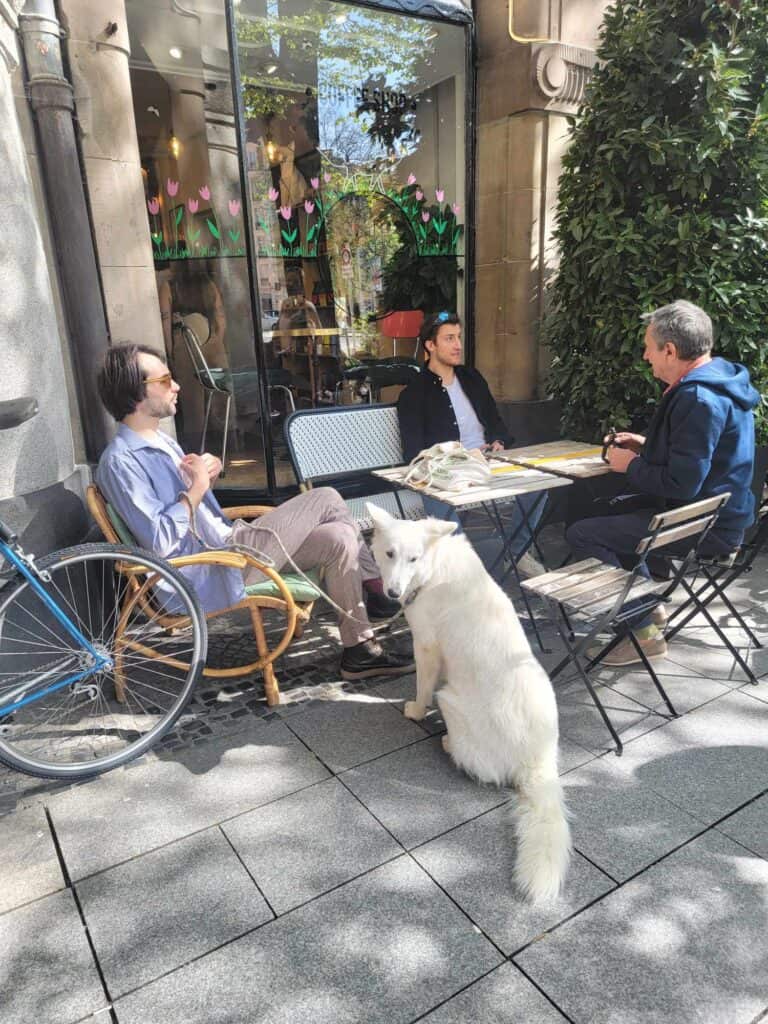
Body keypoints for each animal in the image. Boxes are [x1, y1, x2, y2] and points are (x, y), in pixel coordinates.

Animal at [366, 505, 573, 905]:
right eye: (389, 554)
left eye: (413, 558)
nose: (393, 593)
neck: (433, 568)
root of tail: (538, 762)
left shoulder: (426, 646)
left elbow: (422, 687)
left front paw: (415, 711)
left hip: (450, 701)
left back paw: (448, 743)